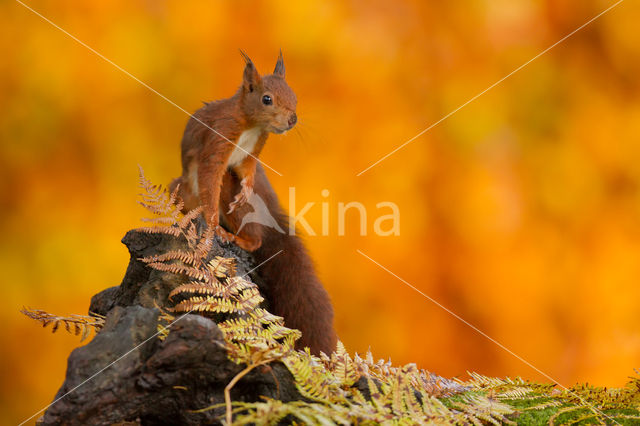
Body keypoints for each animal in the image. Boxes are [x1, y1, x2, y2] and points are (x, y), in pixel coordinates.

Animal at [170, 51, 340, 354]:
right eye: (266, 99)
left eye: (294, 96)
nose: (292, 119)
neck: (251, 126)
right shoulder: (218, 139)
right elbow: (210, 178)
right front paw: (211, 224)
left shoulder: (254, 152)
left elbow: (246, 169)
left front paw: (246, 189)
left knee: (257, 238)